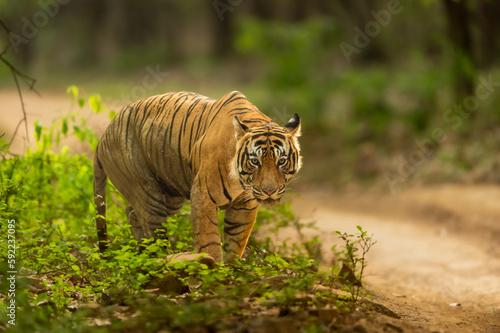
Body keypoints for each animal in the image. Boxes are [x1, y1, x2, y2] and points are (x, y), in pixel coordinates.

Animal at [94, 91, 300, 262]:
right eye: (255, 161)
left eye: (281, 161)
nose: (269, 191)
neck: (240, 182)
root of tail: (105, 133)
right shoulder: (203, 196)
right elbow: (209, 240)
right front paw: (215, 271)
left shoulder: (245, 204)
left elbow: (236, 241)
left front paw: (233, 270)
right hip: (148, 194)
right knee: (153, 230)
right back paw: (156, 259)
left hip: (171, 195)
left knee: (131, 212)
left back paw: (142, 253)